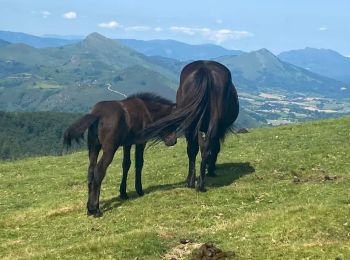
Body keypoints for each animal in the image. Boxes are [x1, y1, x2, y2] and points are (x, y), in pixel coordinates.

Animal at [141, 60, 239, 191]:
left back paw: (193, 182)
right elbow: (216, 148)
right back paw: (199, 182)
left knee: (195, 149)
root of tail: (205, 69)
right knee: (203, 147)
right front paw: (211, 169)